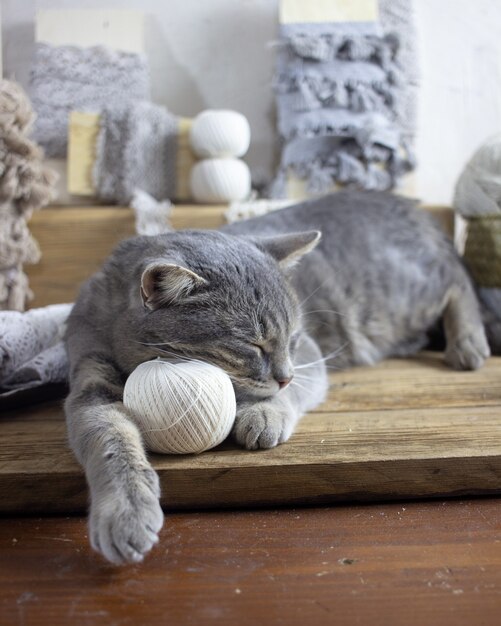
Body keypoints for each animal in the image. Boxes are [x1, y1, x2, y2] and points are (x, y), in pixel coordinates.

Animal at [64, 189, 490, 560]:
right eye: (253, 345)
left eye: (294, 338)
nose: (284, 375)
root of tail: (407, 205)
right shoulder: (89, 383)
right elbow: (110, 439)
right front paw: (125, 510)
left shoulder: (310, 358)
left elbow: (287, 395)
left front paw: (265, 411)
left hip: (403, 295)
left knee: (457, 280)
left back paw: (468, 342)